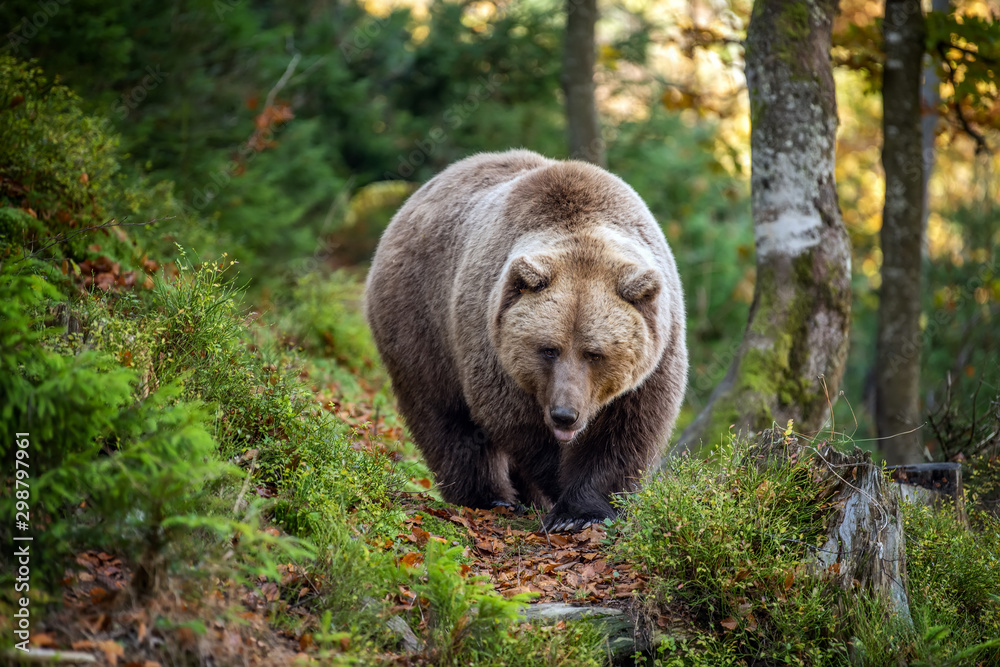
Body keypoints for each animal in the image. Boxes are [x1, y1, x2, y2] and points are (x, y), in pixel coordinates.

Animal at [365, 149, 688, 532]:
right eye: (548, 349)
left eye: (594, 354)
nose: (565, 415)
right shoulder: (492, 344)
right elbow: (518, 427)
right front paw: (558, 495)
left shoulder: (656, 356)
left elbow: (625, 432)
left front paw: (581, 512)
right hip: (421, 322)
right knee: (444, 417)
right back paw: (490, 497)